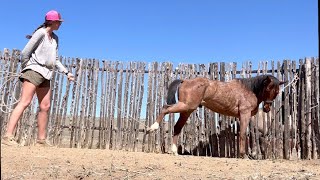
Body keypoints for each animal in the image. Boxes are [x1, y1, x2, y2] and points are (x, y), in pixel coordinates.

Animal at [147, 74, 284, 158]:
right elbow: (243, 134)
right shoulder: (244, 114)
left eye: (277, 91)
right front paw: (243, 155)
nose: (267, 108)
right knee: (165, 108)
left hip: (187, 110)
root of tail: (185, 80)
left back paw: (174, 151)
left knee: (177, 128)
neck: (250, 90)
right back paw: (152, 127)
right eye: (268, 88)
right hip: (186, 106)